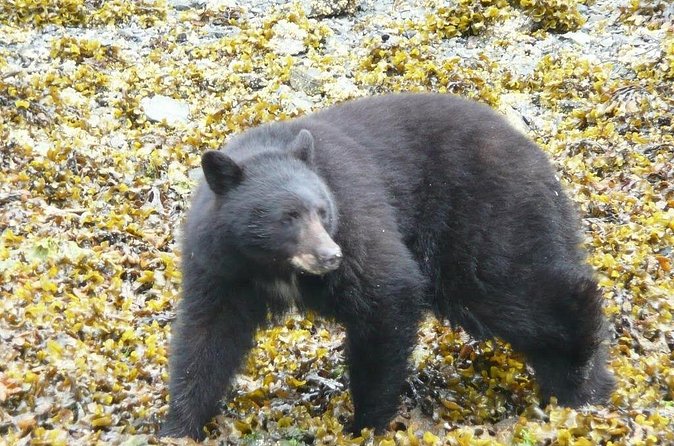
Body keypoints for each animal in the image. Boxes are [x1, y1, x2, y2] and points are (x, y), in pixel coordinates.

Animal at [160, 93, 614, 440]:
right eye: (287, 217)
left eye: (322, 211)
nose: (330, 256)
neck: (271, 266)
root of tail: (538, 158)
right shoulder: (221, 266)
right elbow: (207, 335)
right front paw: (179, 426)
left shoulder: (355, 214)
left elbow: (386, 292)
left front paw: (364, 423)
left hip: (482, 221)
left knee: (519, 291)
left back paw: (582, 374)